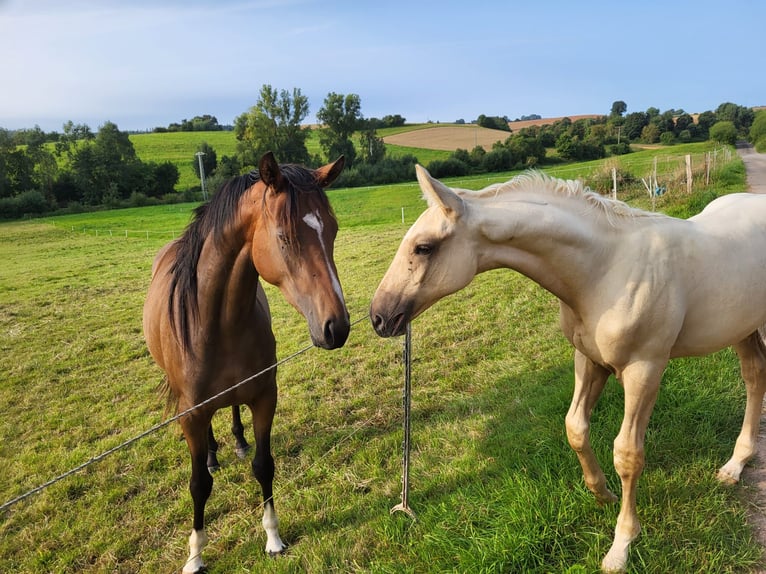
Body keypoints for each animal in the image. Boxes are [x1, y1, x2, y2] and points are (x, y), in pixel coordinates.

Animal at [142, 153, 350, 574]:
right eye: (285, 237)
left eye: (333, 231)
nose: (336, 327)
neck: (215, 321)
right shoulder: (191, 413)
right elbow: (198, 486)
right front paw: (195, 555)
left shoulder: (264, 396)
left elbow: (263, 464)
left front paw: (273, 537)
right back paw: (211, 455)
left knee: (233, 411)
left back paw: (236, 442)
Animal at [368, 165, 766, 572]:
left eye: (424, 247)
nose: (379, 317)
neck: (607, 269)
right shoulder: (589, 361)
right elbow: (575, 428)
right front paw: (602, 493)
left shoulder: (645, 369)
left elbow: (628, 454)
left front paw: (621, 546)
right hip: (742, 329)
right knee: (755, 377)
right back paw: (735, 465)